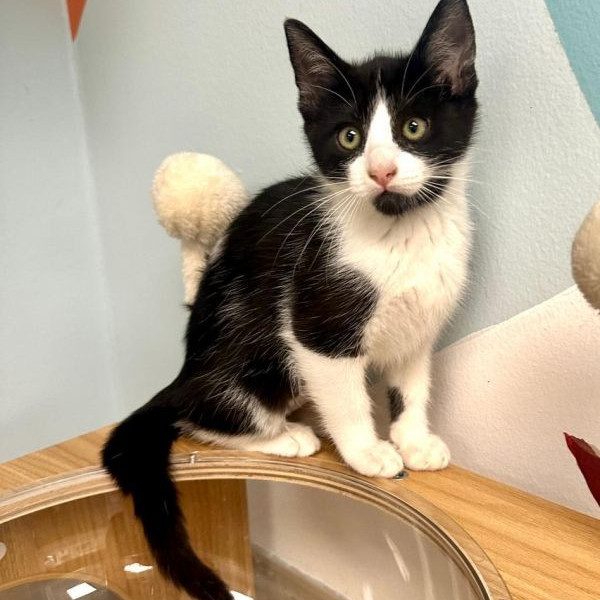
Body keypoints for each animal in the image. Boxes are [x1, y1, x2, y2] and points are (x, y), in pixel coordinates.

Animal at [102, 1, 478, 598]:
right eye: (349, 137)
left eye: (413, 127)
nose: (382, 170)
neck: (398, 233)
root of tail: (183, 372)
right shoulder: (315, 318)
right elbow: (345, 395)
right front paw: (370, 451)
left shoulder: (421, 321)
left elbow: (413, 382)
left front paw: (415, 439)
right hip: (246, 354)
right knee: (197, 413)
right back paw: (284, 437)